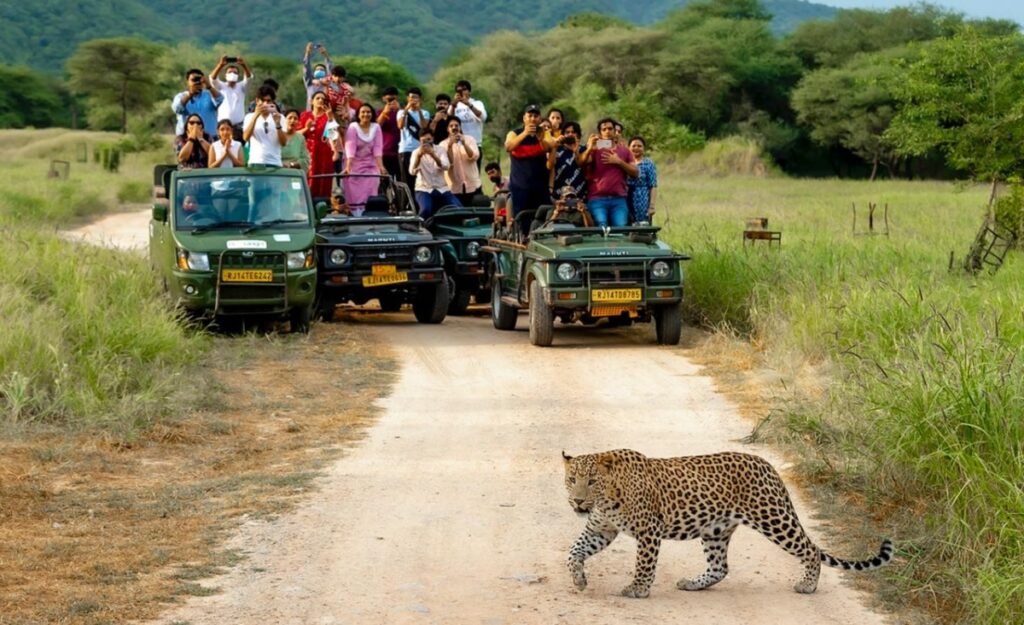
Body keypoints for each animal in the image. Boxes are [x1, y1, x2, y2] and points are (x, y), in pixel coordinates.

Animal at [565, 444, 892, 594]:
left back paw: (808, 585)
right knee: (720, 567)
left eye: (592, 481)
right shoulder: (600, 530)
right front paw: (579, 579)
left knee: (810, 549)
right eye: (571, 480)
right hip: (716, 530)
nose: (578, 501)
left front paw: (638, 590)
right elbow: (573, 552)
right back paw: (693, 584)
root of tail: (768, 466)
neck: (608, 499)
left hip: (773, 518)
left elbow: (644, 564)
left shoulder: (649, 531)